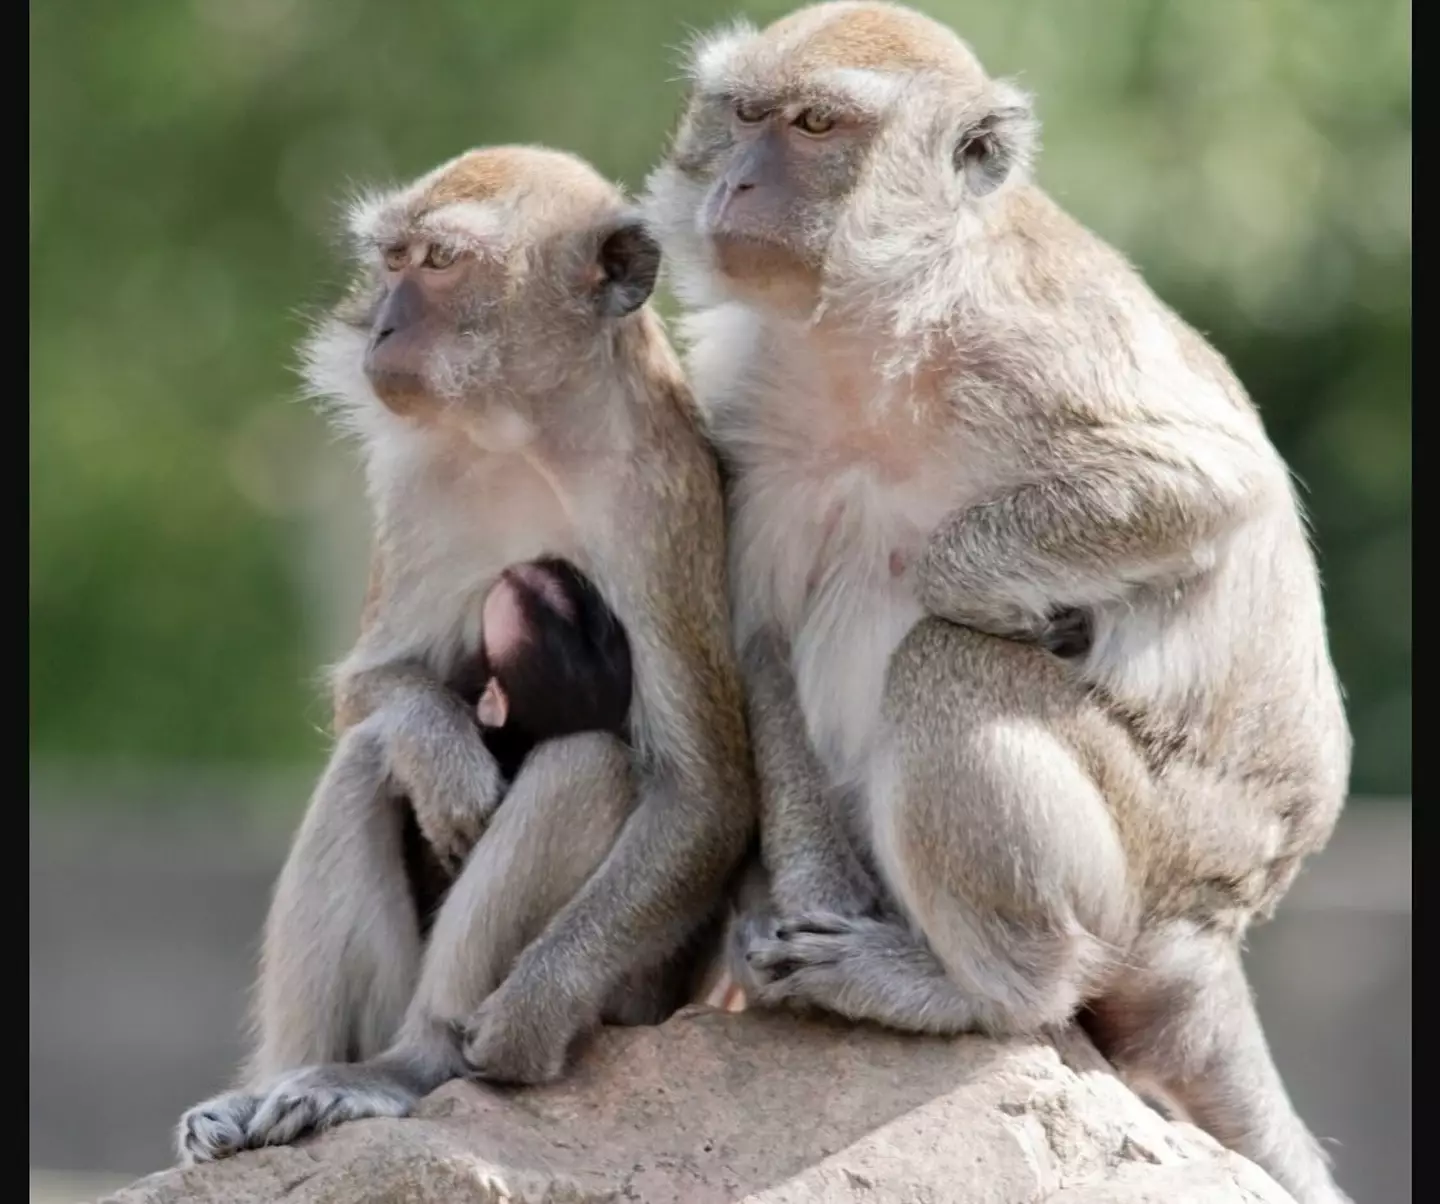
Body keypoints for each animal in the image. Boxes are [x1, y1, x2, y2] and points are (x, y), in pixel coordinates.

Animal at [175, 145, 754, 1165]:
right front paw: (440, 748)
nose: (383, 323)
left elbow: (704, 793)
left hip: (637, 999)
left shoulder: (661, 503)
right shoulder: (417, 483)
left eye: (441, 263)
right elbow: (369, 694)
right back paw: (286, 1080)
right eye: (394, 258)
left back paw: (417, 1062)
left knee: (587, 766)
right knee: (364, 762)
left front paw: (525, 1019)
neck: (531, 435)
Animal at [642, 5, 1353, 1203]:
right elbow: (760, 637)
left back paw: (986, 989)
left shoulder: (1029, 343)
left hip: (1154, 857)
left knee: (947, 665)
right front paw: (804, 897)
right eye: (741, 115)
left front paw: (993, 595)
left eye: (816, 126)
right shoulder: (746, 407)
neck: (872, 331)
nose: (736, 183)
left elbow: (1212, 484)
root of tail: (1221, 924)